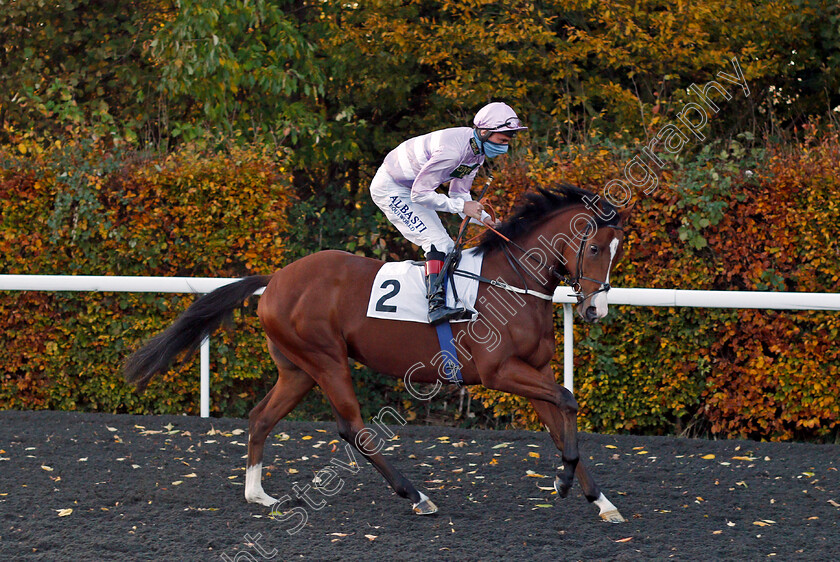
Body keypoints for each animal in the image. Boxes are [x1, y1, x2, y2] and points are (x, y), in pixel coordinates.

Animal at [124, 184, 632, 520]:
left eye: (616, 251)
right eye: (595, 248)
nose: (595, 309)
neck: (511, 281)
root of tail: (276, 279)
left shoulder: (533, 367)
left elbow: (560, 420)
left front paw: (599, 500)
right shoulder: (499, 370)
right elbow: (567, 400)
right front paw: (564, 480)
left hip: (298, 370)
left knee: (262, 417)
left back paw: (258, 495)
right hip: (326, 360)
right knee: (354, 429)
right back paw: (416, 495)